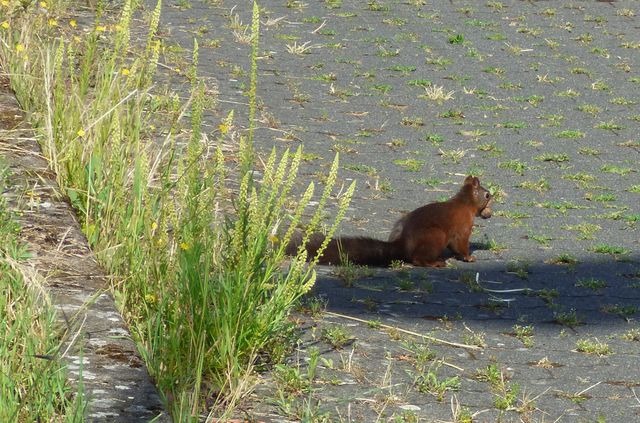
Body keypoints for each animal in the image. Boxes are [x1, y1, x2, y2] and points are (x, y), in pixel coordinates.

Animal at [288, 176, 492, 268]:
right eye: (487, 195)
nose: (490, 212)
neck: (464, 204)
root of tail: (401, 245)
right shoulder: (463, 227)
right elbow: (461, 244)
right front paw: (469, 257)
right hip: (435, 236)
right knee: (417, 259)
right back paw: (436, 263)